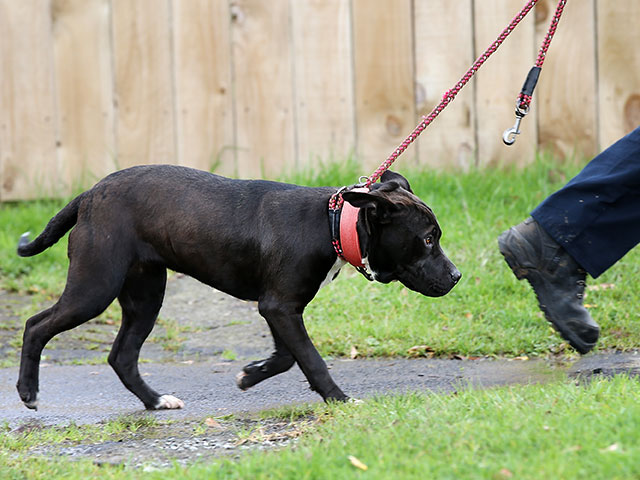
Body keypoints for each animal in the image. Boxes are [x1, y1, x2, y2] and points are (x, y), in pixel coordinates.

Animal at [16, 165, 460, 408]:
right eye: (427, 239)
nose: (457, 276)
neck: (333, 224)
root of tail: (90, 194)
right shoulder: (280, 306)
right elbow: (311, 359)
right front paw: (340, 400)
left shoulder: (278, 307)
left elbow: (287, 356)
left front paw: (251, 375)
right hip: (95, 285)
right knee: (36, 325)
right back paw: (27, 392)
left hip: (145, 295)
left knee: (122, 356)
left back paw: (156, 401)